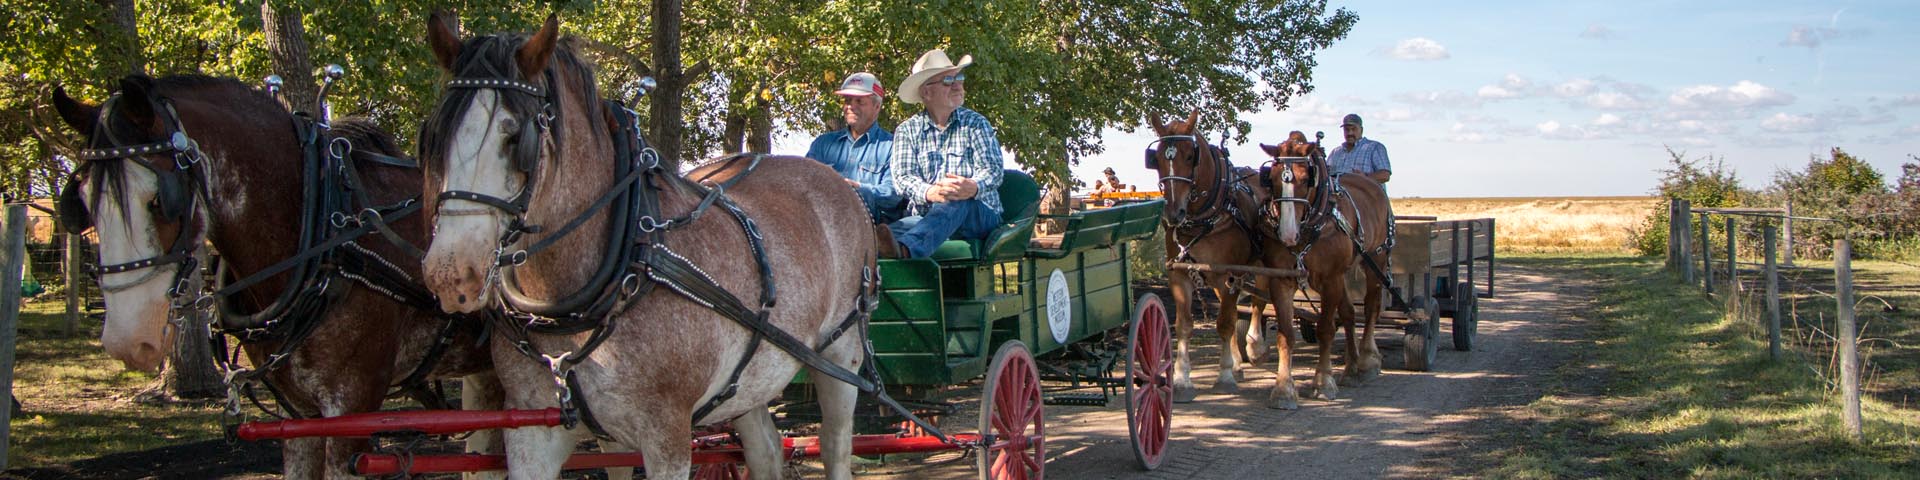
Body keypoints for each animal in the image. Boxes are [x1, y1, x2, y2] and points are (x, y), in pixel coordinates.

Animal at [52, 74, 495, 476]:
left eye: (159, 200)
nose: (126, 341)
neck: (321, 230)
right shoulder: (298, 413)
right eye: (82, 202)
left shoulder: (353, 405)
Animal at [422, 13, 879, 478]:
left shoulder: (668, 433)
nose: (451, 273)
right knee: (766, 449)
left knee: (835, 444)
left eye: (515, 139)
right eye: (434, 135)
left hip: (841, 353)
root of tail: (840, 183)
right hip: (748, 377)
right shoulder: (533, 430)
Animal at [1136, 114, 1290, 403]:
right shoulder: (1179, 274)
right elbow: (1184, 325)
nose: (1174, 213)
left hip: (1259, 266)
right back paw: (1239, 363)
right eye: (1157, 158)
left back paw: (1254, 347)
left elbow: (1225, 324)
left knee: (1258, 301)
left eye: (1190, 156)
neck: (1207, 216)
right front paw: (1182, 380)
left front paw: (1225, 376)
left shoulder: (1230, 274)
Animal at [1251, 131, 1390, 408]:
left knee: (1371, 307)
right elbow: (1285, 334)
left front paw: (1323, 382)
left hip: (1375, 261)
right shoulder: (1283, 279)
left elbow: (1326, 329)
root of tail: (1369, 183)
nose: (1288, 234)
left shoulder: (1330, 279)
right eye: (1271, 178)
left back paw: (1368, 359)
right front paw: (1283, 389)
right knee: (1348, 313)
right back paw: (1351, 368)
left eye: (1306, 178)